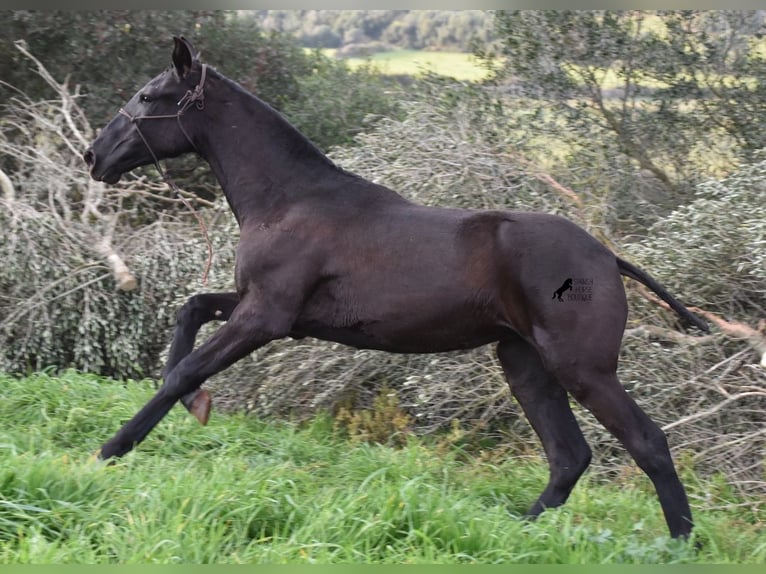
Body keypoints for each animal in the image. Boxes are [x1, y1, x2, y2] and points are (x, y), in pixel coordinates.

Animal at [82, 38, 708, 544]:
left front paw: (111, 449)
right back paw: (518, 531)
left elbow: (185, 370)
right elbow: (188, 314)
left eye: (147, 97)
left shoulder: (266, 317)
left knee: (647, 443)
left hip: (583, 369)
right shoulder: (271, 311)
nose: (93, 155)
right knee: (568, 456)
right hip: (525, 364)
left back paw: (680, 544)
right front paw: (193, 405)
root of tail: (607, 256)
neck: (288, 199)